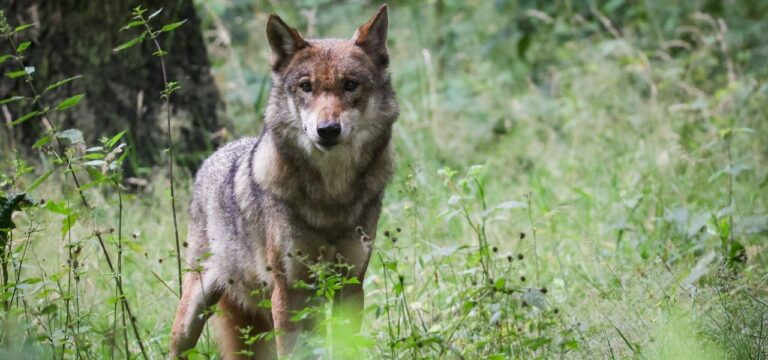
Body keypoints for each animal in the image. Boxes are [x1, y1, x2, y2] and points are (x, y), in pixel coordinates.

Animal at [171, 5, 400, 360]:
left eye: (350, 85)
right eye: (306, 86)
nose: (327, 130)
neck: (331, 196)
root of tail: (215, 154)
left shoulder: (350, 284)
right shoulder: (289, 291)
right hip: (194, 312)